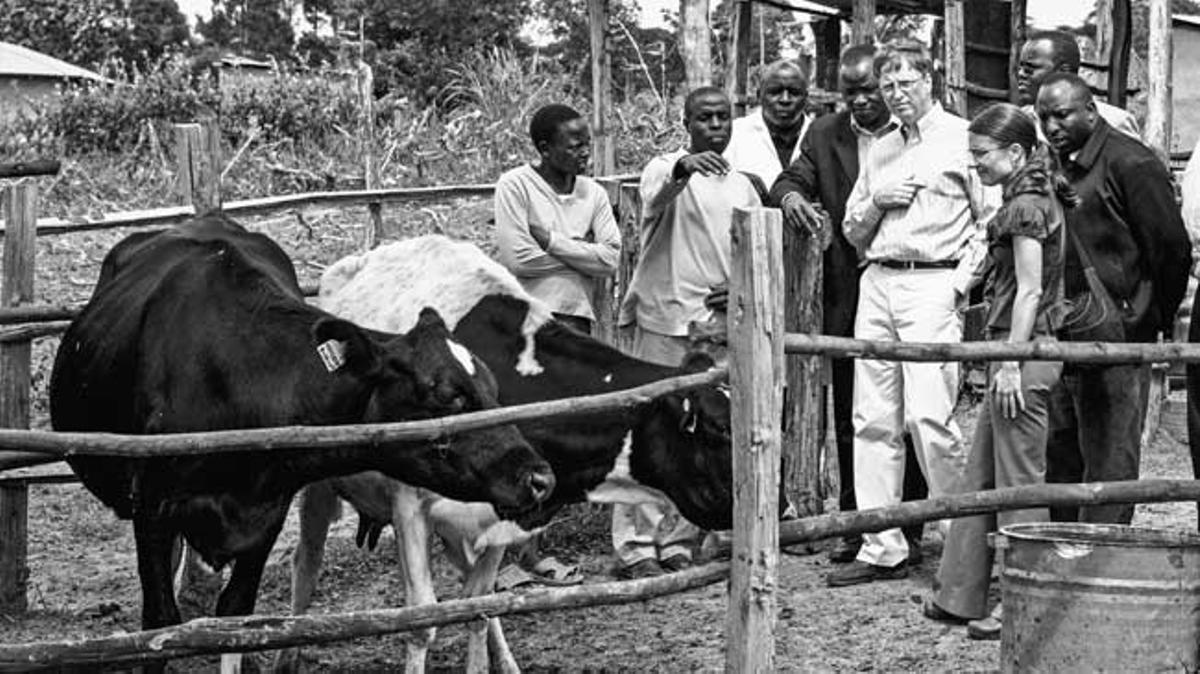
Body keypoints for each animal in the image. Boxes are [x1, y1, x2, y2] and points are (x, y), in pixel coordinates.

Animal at [46, 214, 552, 662]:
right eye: (447, 395)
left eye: (493, 387)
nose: (539, 478)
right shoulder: (152, 511)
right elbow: (159, 623)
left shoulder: (267, 514)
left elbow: (236, 617)